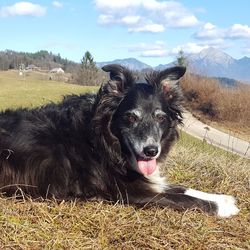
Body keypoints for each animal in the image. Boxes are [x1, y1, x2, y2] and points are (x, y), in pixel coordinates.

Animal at [0, 64, 239, 217]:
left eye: (161, 118)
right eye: (131, 117)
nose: (151, 151)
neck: (102, 138)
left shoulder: (146, 178)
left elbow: (181, 188)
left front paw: (223, 198)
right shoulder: (132, 192)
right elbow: (181, 198)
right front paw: (222, 208)